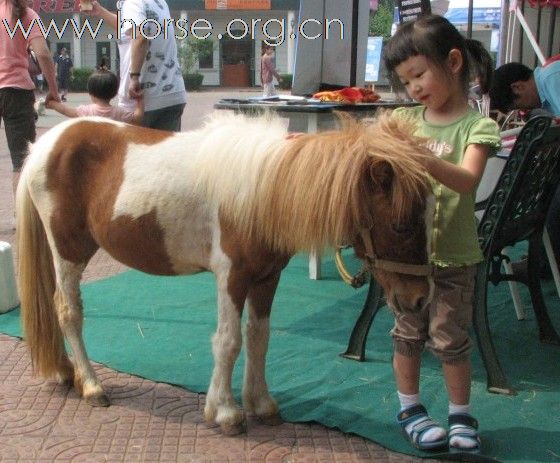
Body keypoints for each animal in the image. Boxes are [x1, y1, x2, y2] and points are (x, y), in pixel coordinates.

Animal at [14, 111, 434, 436]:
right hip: (68, 252)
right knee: (68, 312)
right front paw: (226, 412)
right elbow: (229, 341)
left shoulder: (266, 278)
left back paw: (67, 372)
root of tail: (44, 145)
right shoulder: (232, 277)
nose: (419, 298)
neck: (264, 189)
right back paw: (91, 385)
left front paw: (261, 403)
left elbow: (259, 337)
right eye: (400, 225)